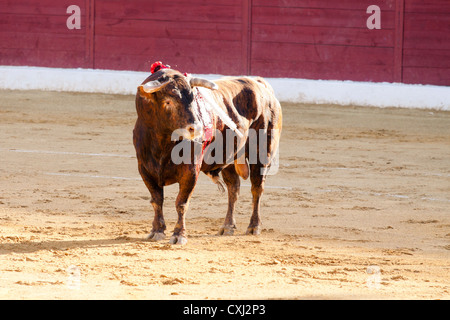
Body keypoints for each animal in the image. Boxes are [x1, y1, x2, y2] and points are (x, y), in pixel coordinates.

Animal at [133, 68, 282, 245]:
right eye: (168, 101)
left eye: (193, 99)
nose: (197, 128)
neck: (161, 140)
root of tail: (261, 84)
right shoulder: (145, 169)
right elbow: (156, 200)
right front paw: (157, 230)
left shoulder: (190, 171)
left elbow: (181, 202)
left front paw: (179, 235)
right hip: (229, 159)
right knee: (234, 188)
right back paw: (227, 226)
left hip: (262, 153)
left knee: (257, 189)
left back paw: (254, 226)